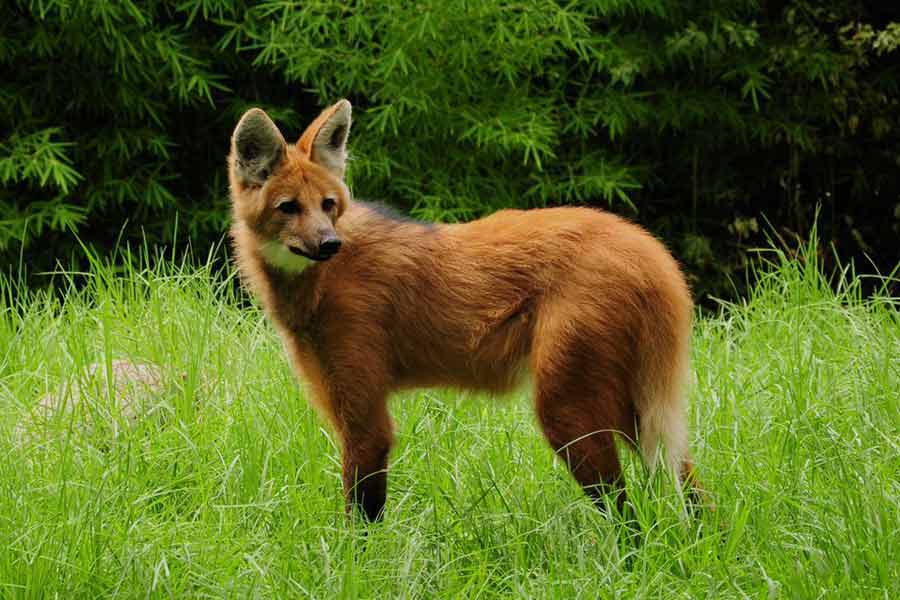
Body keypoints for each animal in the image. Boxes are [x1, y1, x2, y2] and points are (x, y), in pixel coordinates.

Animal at [227, 98, 704, 520]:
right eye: (288, 207)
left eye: (327, 204)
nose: (329, 243)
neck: (319, 283)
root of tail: (649, 248)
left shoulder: (364, 416)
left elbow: (360, 517)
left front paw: (356, 562)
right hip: (628, 399)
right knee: (688, 483)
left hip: (568, 407)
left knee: (626, 512)